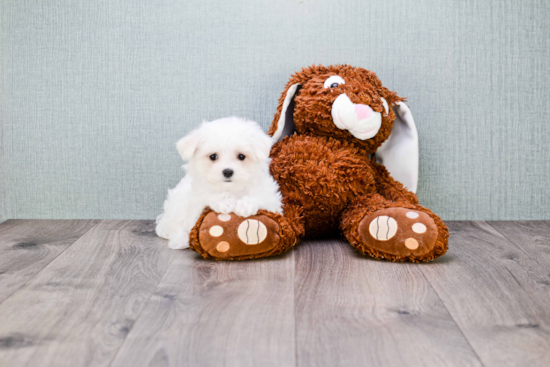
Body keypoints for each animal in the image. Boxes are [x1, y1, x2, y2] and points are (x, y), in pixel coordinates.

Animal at [155, 117, 284, 250]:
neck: (232, 189)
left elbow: (263, 197)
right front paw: (224, 201)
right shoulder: (196, 198)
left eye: (241, 156)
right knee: (173, 225)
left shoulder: (273, 199)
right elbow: (207, 197)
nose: (227, 171)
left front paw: (245, 205)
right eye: (213, 156)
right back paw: (180, 240)